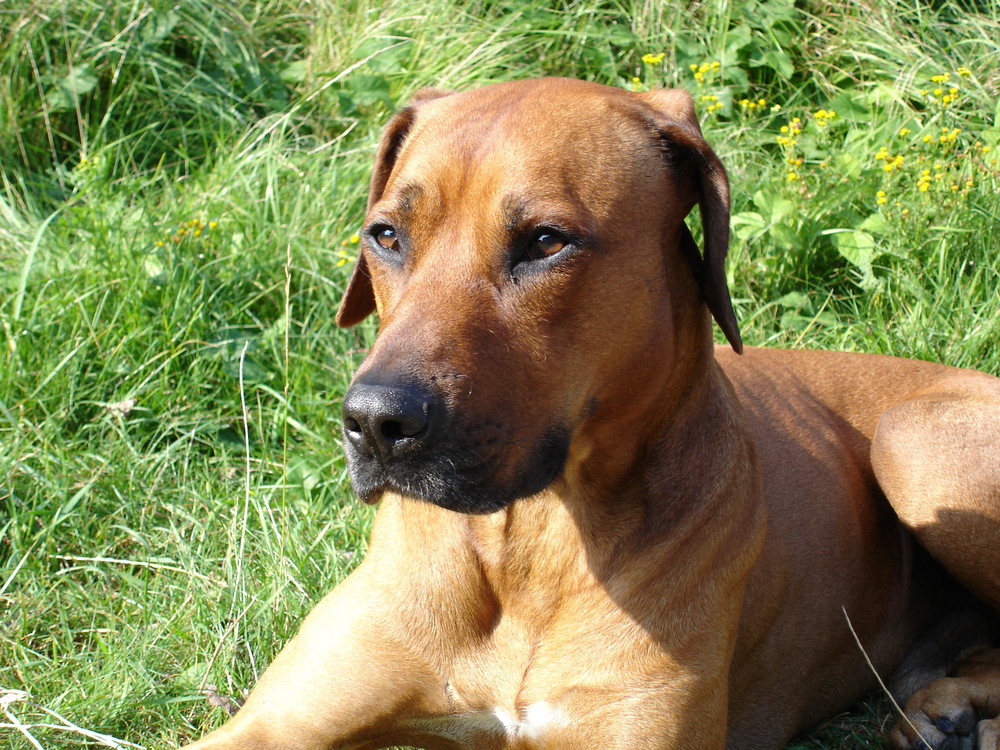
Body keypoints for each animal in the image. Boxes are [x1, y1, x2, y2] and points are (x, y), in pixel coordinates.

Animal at [180, 78, 1000, 750]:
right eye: (386, 235)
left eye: (546, 242)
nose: (376, 421)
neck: (530, 541)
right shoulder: (273, 723)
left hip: (912, 440)